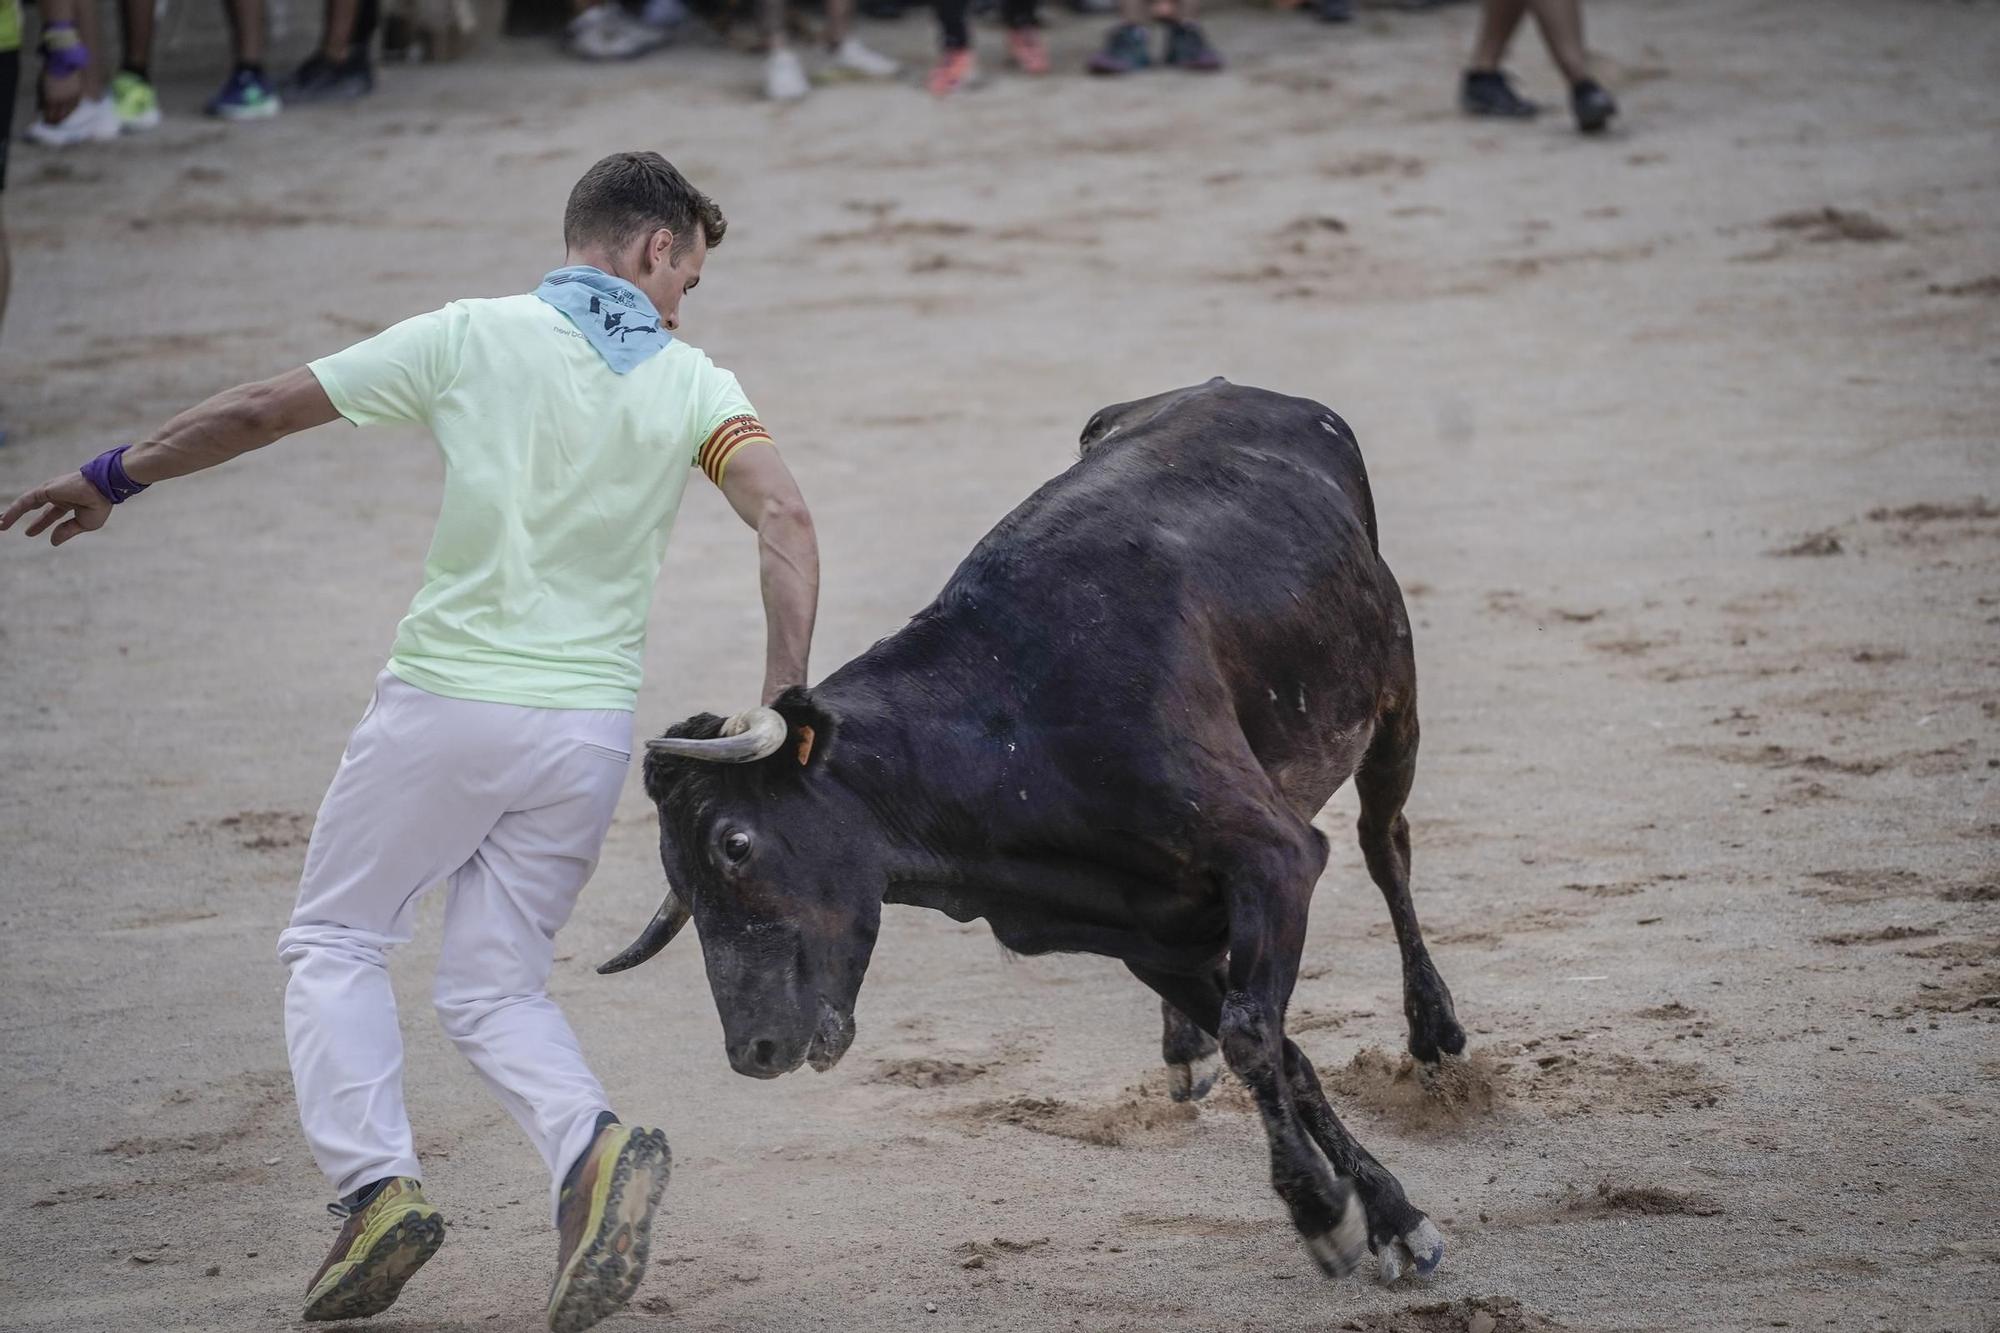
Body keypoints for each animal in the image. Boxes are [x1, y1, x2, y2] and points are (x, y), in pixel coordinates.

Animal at [600, 378, 1464, 1280]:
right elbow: (1282, 1050)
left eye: (734, 843)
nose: (753, 1050)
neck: (1013, 727)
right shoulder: (1145, 935)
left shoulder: (1276, 857)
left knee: (1386, 845)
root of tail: (1245, 389)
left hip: (1393, 700)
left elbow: (1257, 1033)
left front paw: (1332, 1211)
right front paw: (1374, 1204)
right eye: (680, 882)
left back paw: (1434, 1027)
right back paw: (1184, 1046)